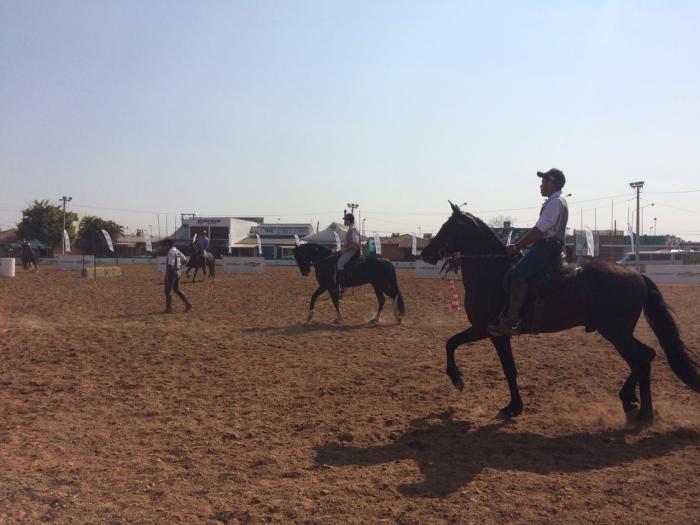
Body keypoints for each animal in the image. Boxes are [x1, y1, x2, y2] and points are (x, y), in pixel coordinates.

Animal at [422, 203, 700, 424]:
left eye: (447, 227)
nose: (425, 253)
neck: (491, 271)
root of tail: (636, 275)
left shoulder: (489, 330)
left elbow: (462, 348)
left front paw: (463, 381)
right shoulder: (492, 333)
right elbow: (473, 353)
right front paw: (513, 405)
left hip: (616, 332)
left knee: (643, 358)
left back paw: (640, 410)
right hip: (618, 333)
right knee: (643, 359)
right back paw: (635, 405)